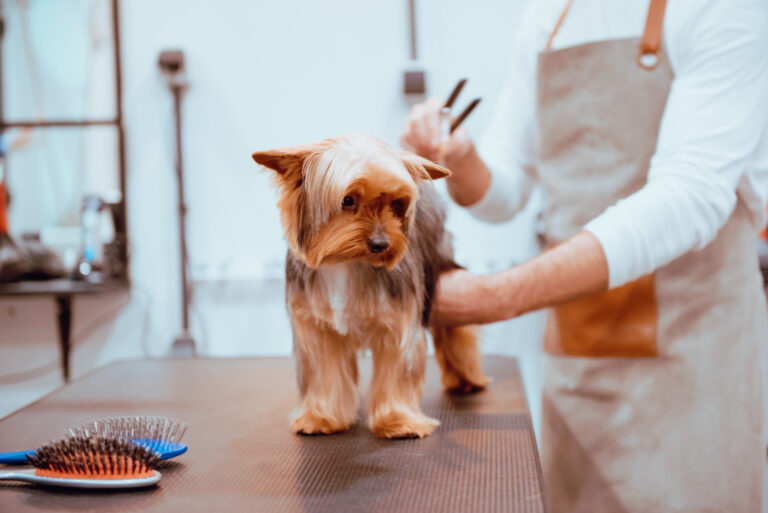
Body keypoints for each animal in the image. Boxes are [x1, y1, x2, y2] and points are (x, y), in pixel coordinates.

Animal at [255, 133, 488, 436]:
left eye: (397, 203)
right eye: (347, 200)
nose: (381, 244)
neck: (344, 261)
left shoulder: (399, 321)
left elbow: (396, 370)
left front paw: (398, 421)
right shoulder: (315, 327)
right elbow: (324, 370)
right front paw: (322, 418)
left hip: (439, 267)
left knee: (456, 331)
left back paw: (468, 379)